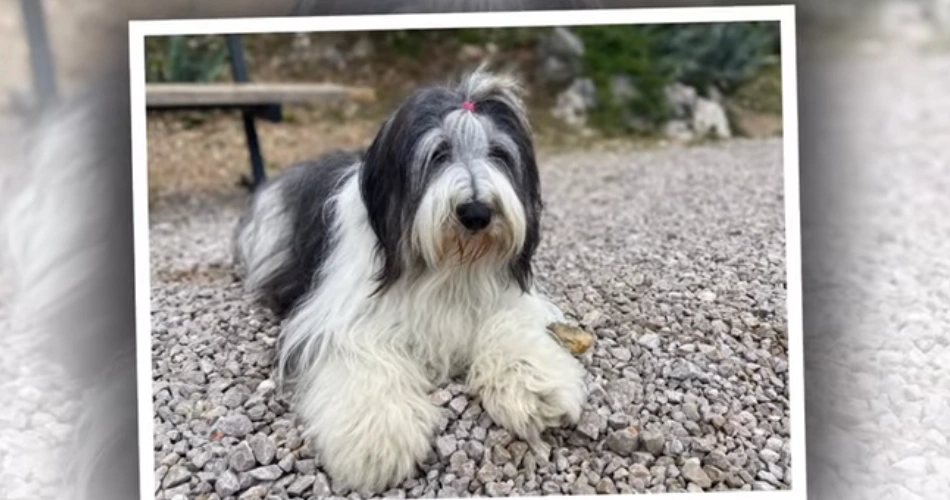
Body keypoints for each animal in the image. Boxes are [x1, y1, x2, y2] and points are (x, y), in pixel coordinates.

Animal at [233, 69, 588, 492]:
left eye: (498, 154)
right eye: (438, 154)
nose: (476, 212)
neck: (448, 265)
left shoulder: (508, 296)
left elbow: (508, 325)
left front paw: (534, 386)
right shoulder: (338, 316)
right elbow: (360, 355)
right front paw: (377, 441)